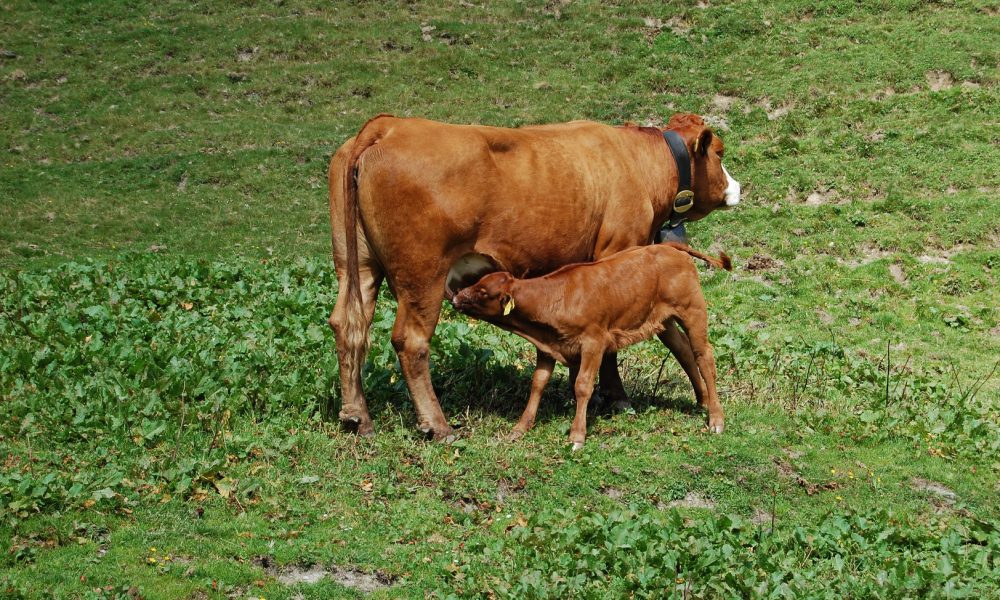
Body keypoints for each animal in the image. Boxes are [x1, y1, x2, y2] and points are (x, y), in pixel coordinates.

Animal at [452, 242, 731, 449]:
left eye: (483, 292)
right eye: (476, 283)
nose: (455, 297)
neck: (554, 298)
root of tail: (669, 246)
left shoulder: (594, 342)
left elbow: (583, 385)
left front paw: (577, 436)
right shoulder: (547, 347)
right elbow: (538, 383)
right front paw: (520, 428)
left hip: (693, 311)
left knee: (704, 356)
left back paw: (716, 419)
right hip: (664, 321)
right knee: (684, 352)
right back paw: (703, 401)